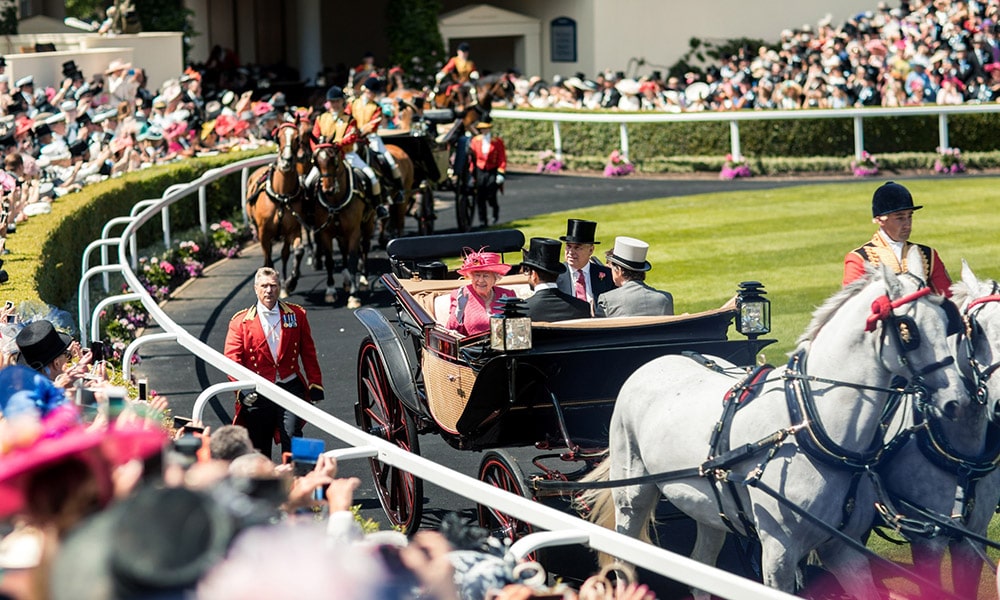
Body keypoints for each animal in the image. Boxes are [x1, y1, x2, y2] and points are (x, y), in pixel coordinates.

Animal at [245, 121, 304, 296]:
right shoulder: (264, 232)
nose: (286, 161)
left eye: (298, 138)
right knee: (268, 257)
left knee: (284, 254)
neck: (281, 196)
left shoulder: (293, 229)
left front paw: (289, 283)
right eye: (278, 138)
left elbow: (297, 251)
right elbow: (268, 262)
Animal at [310, 142, 374, 308]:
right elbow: (330, 261)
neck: (335, 201)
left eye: (334, 160)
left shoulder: (354, 232)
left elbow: (352, 259)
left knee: (364, 249)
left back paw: (362, 279)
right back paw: (346, 281)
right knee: (344, 250)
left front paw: (353, 296)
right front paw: (330, 292)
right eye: (316, 162)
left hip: (368, 224)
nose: (328, 189)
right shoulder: (325, 233)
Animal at [584, 264, 968, 600]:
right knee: (623, 559)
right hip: (632, 495)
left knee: (700, 569)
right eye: (907, 329)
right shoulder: (778, 551)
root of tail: (655, 361)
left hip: (709, 510)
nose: (957, 401)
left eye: (946, 320)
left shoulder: (844, 549)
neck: (810, 428)